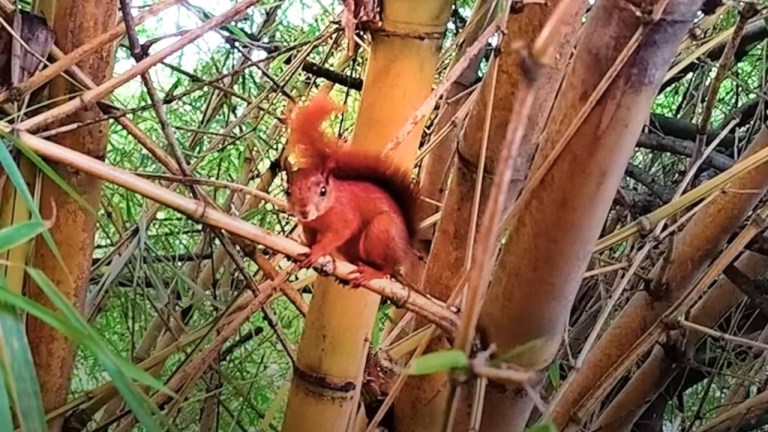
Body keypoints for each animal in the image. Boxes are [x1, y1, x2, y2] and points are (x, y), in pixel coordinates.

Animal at [282, 90, 420, 286]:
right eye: (288, 192)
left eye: (323, 191)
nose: (304, 212)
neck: (323, 213)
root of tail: (406, 248)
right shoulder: (309, 226)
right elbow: (310, 237)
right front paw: (307, 246)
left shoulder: (345, 217)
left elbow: (340, 232)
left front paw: (318, 250)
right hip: (350, 247)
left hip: (380, 232)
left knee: (388, 267)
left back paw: (372, 272)